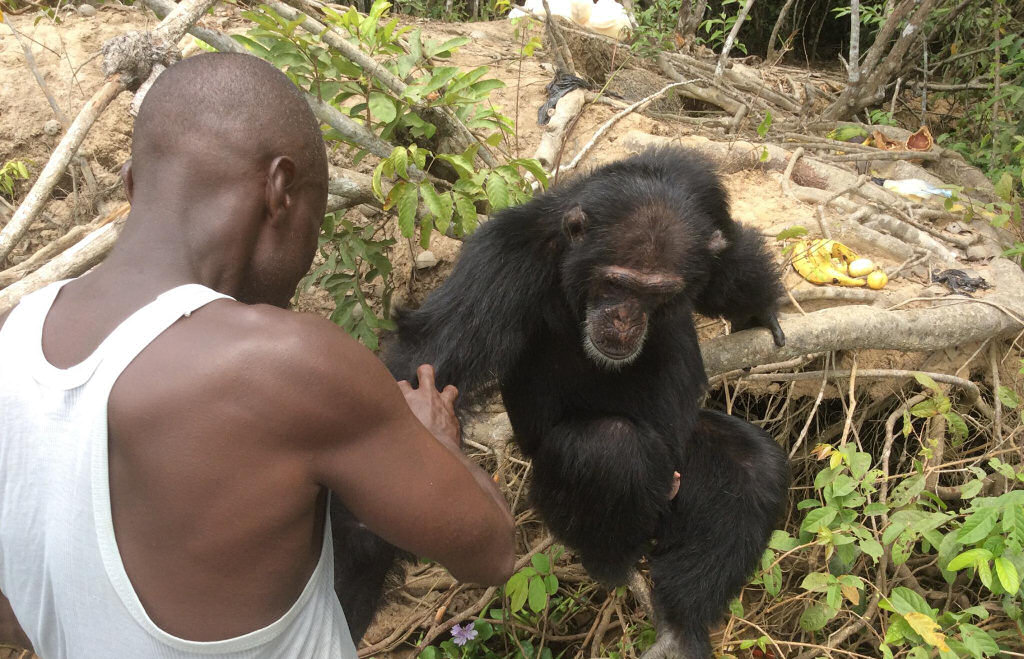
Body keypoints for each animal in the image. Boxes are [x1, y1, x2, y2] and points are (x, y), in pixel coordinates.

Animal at [380, 146, 786, 654]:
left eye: (657, 293)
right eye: (616, 284)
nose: (626, 318)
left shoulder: (702, 194)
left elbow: (727, 256)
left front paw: (757, 308)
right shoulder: (501, 261)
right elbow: (427, 360)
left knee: (753, 468)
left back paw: (681, 625)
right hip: (566, 503)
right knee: (606, 447)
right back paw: (611, 563)